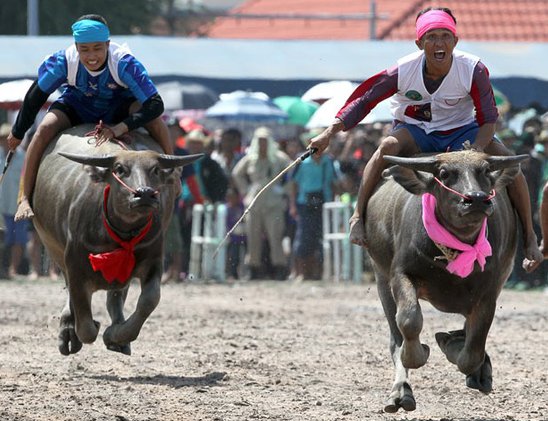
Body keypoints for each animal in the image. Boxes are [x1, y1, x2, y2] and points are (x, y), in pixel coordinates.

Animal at [30, 124, 201, 354]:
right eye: (120, 169)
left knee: (116, 296)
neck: (122, 232)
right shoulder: (75, 266)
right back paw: (68, 331)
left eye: (155, 170)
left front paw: (116, 335)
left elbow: (150, 299)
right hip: (53, 248)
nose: (144, 194)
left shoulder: (153, 260)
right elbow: (85, 325)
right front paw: (85, 327)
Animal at [366, 149, 528, 412]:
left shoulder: (489, 291)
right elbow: (409, 320)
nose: (476, 199)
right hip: (381, 280)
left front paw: (452, 345)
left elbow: (473, 349)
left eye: (485, 171)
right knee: (395, 339)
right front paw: (420, 351)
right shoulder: (400, 275)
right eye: (444, 173)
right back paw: (400, 393)